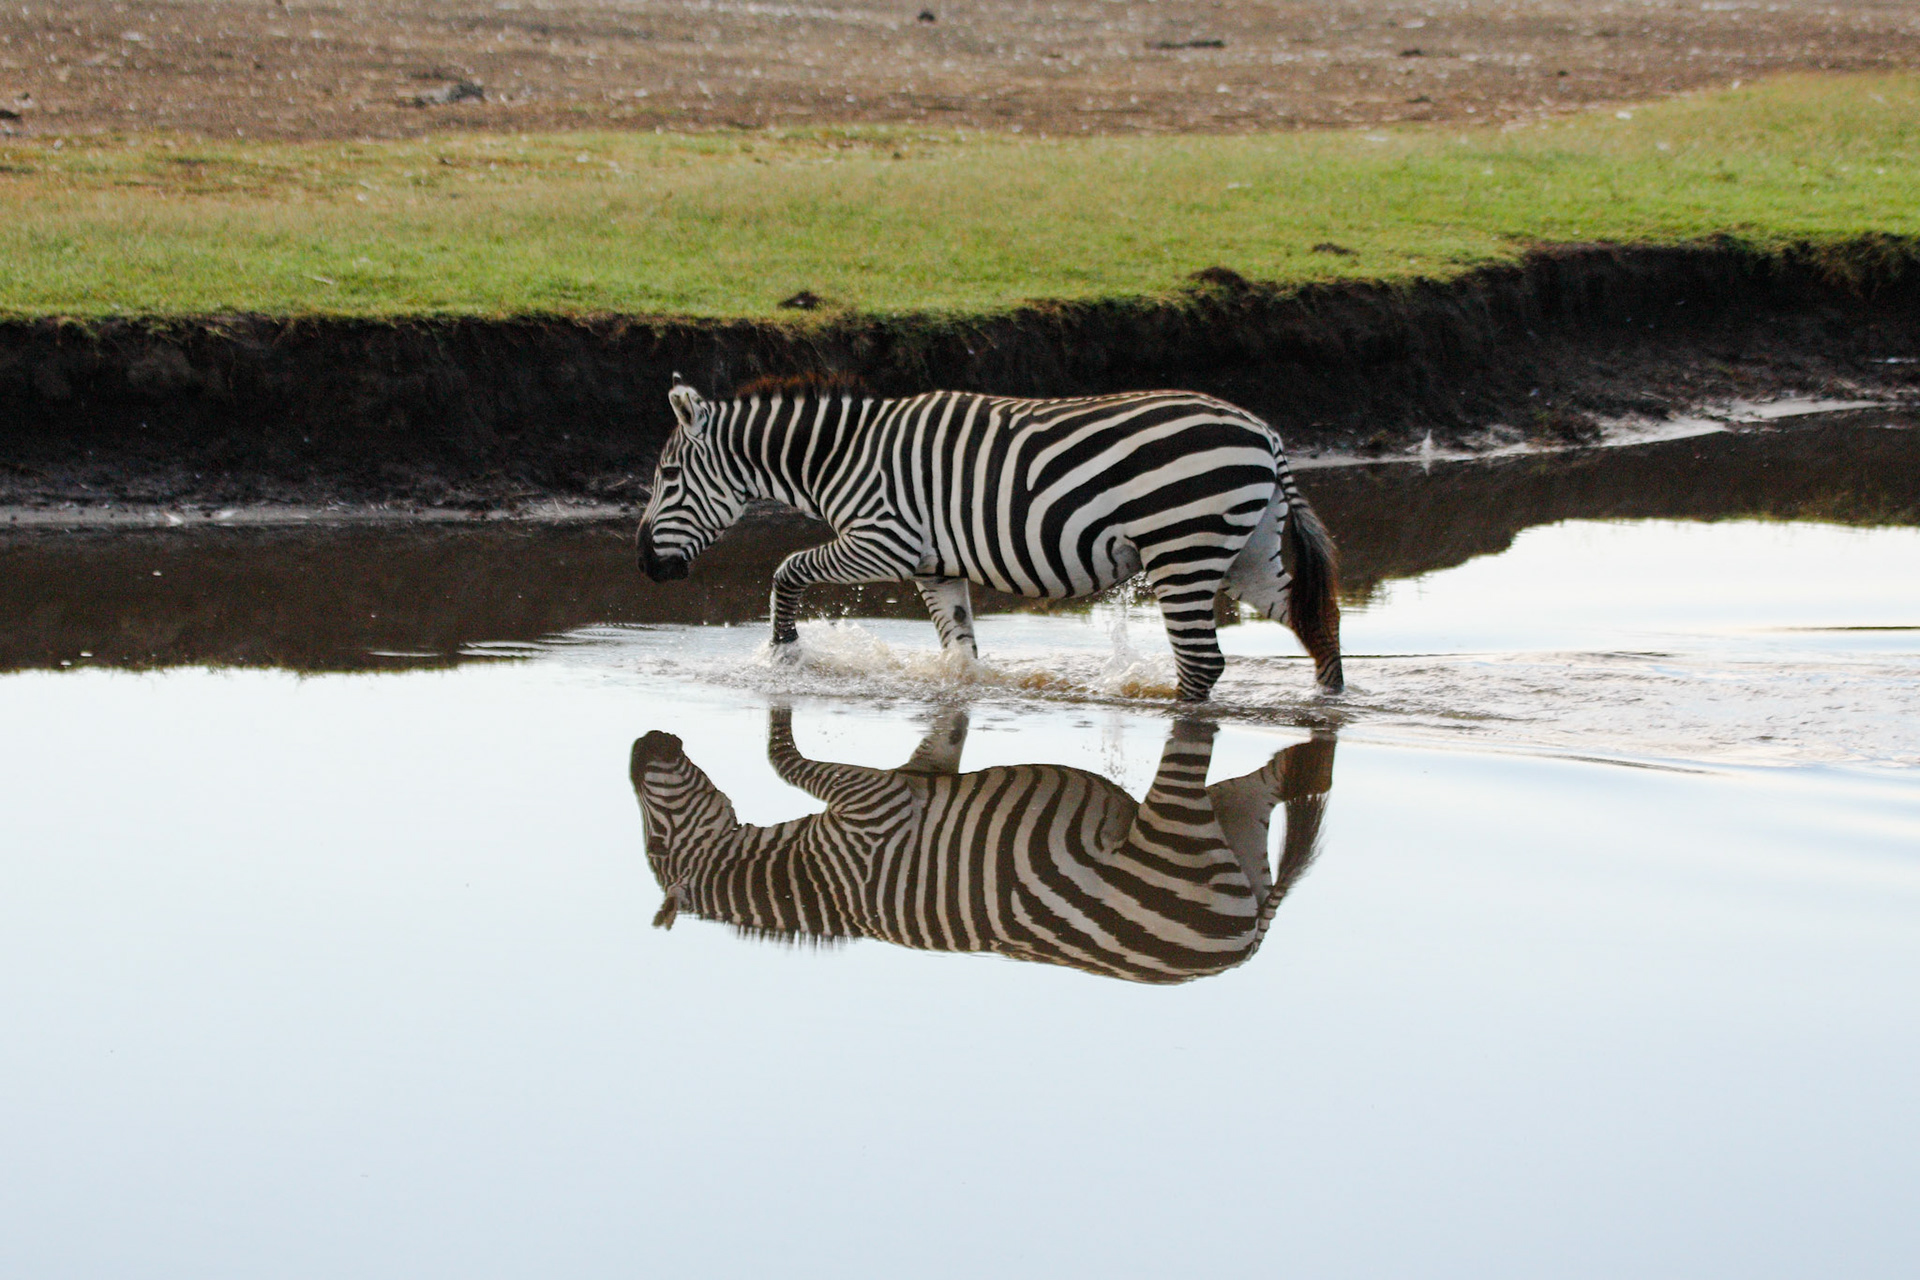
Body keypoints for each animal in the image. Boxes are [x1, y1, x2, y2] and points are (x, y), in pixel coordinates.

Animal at [629, 706, 1336, 984]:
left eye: (655, 839)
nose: (641, 744)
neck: (821, 876)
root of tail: (1241, 949)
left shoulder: (872, 802)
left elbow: (782, 761)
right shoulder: (884, 796)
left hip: (1183, 832)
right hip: (1227, 829)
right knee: (1269, 784)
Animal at [635, 374, 1344, 701]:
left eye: (667, 479)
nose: (643, 564)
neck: (840, 457)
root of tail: (1264, 431)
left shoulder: (884, 539)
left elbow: (785, 569)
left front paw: (784, 654)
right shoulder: (935, 566)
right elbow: (960, 654)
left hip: (1183, 547)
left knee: (1202, 662)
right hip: (1245, 550)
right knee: (1318, 621)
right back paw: (1326, 708)